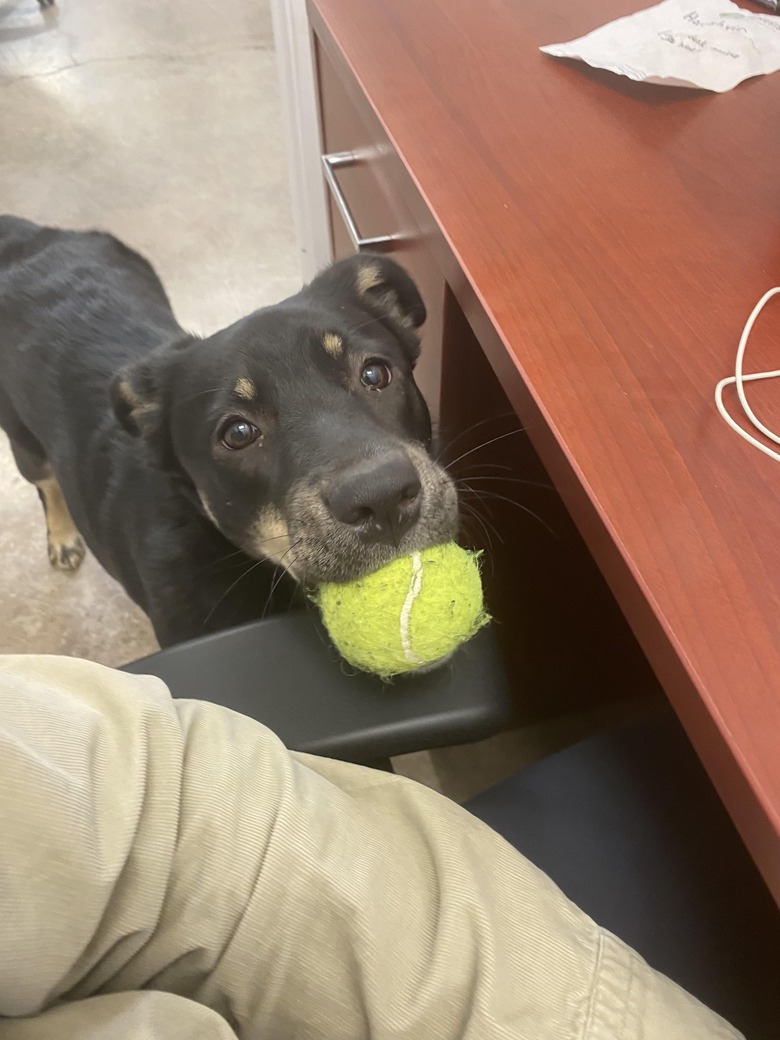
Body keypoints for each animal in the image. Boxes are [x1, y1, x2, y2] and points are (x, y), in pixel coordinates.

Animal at [0, 215, 457, 644]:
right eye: (237, 434)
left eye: (375, 373)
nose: (382, 497)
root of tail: (23, 234)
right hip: (24, 442)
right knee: (47, 485)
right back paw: (62, 537)